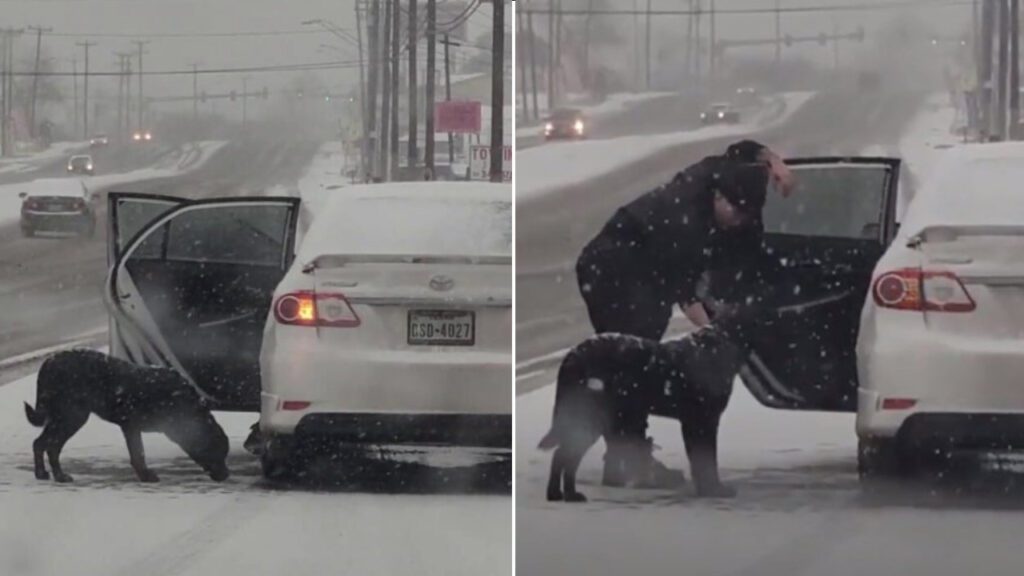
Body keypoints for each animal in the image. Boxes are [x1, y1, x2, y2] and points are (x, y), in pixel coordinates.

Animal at [22, 348, 232, 481]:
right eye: (218, 453)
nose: (227, 474)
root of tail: (48, 363)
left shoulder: (130, 427)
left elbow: (137, 454)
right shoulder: (131, 426)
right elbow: (138, 454)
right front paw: (146, 477)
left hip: (64, 417)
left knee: (42, 444)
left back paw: (44, 474)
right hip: (71, 416)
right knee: (49, 446)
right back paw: (58, 476)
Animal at [536, 307, 761, 500]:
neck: (721, 343)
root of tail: (573, 354)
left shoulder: (696, 423)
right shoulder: (702, 421)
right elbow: (706, 461)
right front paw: (714, 490)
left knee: (564, 454)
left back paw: (562, 494)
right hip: (591, 417)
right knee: (565, 454)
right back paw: (567, 495)